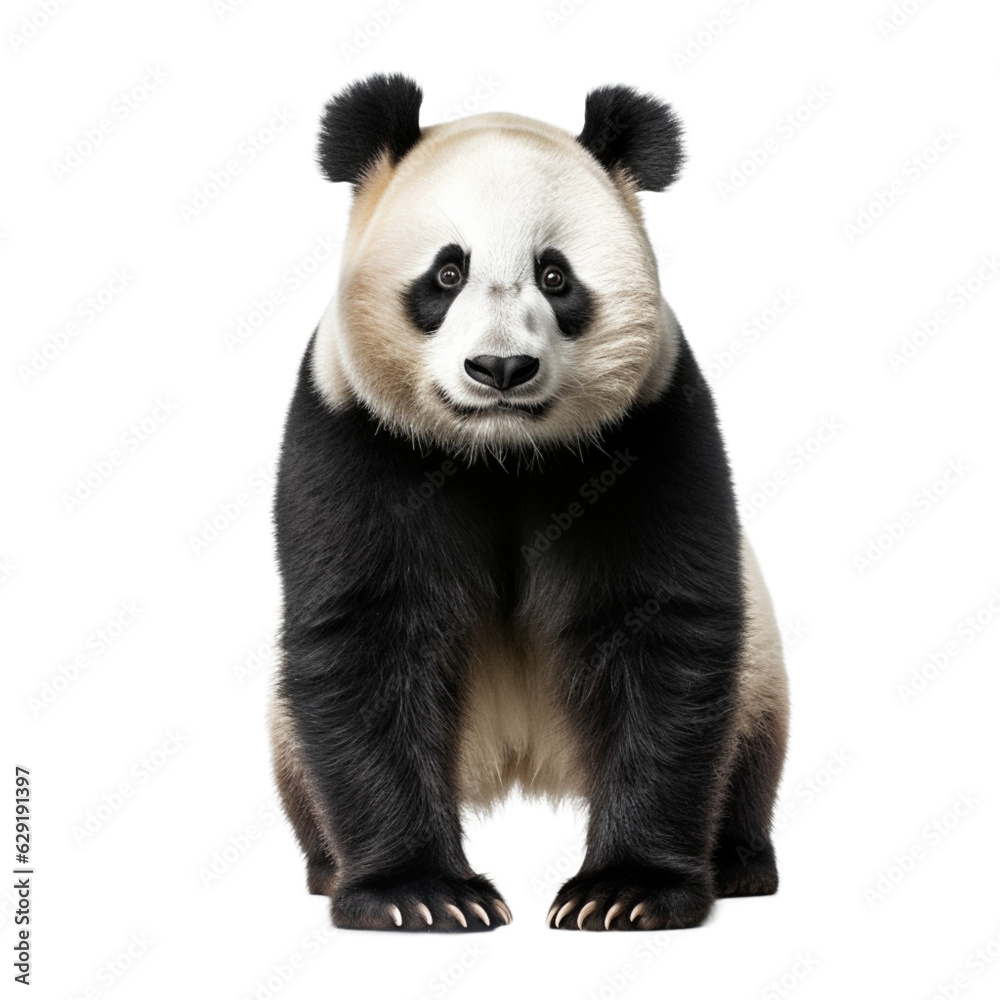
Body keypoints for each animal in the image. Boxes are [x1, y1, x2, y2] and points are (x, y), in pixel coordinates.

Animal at [270, 74, 788, 933]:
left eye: (556, 276)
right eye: (447, 274)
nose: (501, 369)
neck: (503, 454)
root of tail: (519, 760)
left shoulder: (651, 432)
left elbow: (660, 629)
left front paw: (624, 891)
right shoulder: (356, 437)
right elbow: (371, 632)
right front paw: (419, 894)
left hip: (760, 673)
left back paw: (740, 861)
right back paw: (324, 866)